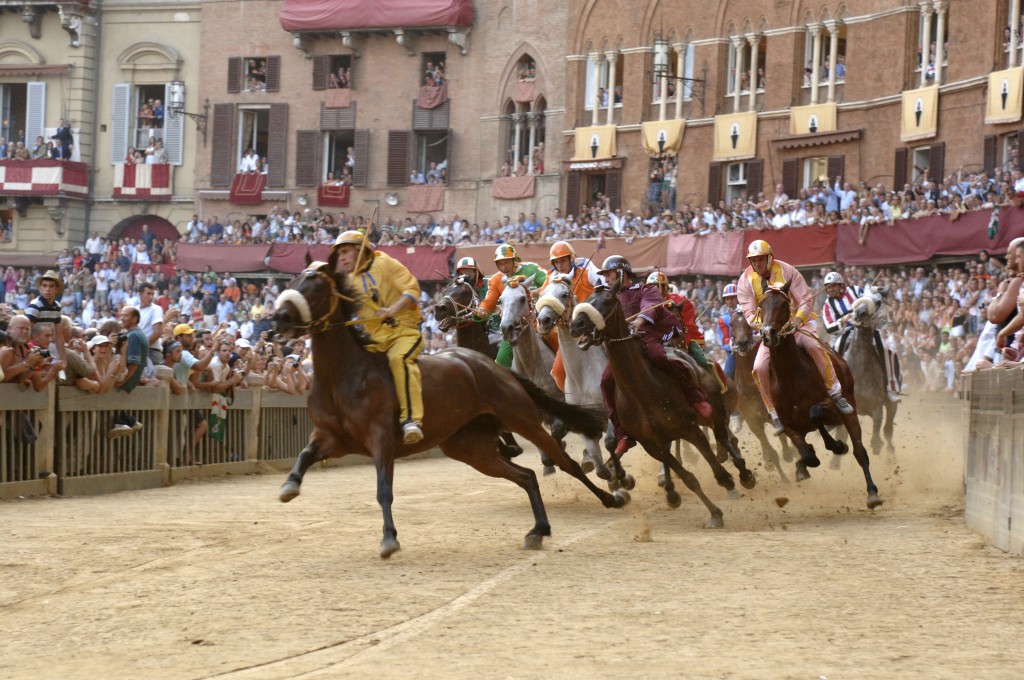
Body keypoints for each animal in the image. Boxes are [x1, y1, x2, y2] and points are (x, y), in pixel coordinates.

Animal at [569, 284, 753, 528]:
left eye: (607, 300)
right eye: (587, 297)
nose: (576, 325)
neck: (642, 390)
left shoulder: (690, 429)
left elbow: (717, 469)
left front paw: (728, 485)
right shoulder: (652, 444)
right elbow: (688, 478)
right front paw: (714, 513)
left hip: (714, 413)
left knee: (724, 438)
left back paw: (744, 474)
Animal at [729, 311, 798, 481]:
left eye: (748, 323)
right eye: (731, 324)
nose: (742, 343)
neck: (750, 383)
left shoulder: (773, 415)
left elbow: (784, 437)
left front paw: (788, 454)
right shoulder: (753, 419)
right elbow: (770, 450)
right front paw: (781, 476)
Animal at [761, 278, 880, 507]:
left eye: (784, 304)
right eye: (761, 305)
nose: (768, 333)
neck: (791, 377)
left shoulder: (830, 408)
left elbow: (816, 413)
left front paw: (837, 446)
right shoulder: (788, 424)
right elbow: (806, 453)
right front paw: (805, 462)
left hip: (850, 410)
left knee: (860, 451)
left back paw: (872, 492)